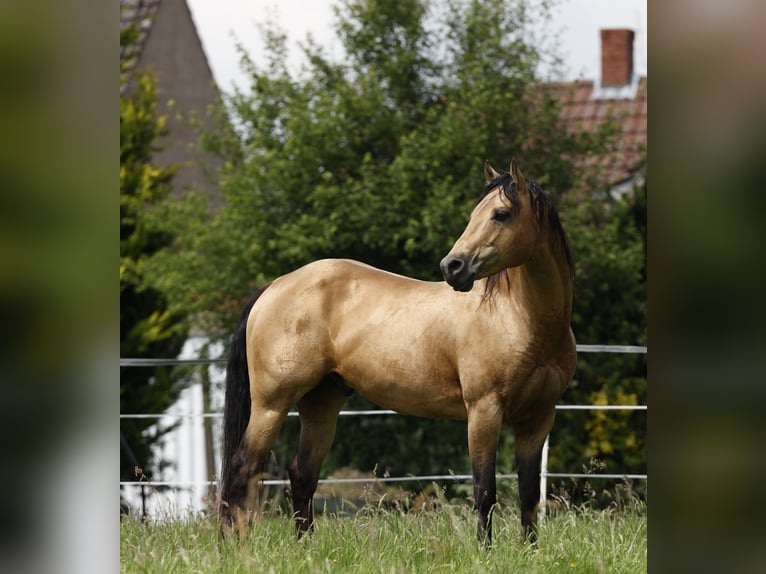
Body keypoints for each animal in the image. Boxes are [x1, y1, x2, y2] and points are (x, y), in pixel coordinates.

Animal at [218, 159, 576, 548]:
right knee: (243, 468)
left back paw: (305, 546)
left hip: (321, 403)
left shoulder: (538, 419)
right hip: (272, 404)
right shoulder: (484, 410)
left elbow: (528, 494)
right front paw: (485, 551)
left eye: (500, 214)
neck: (519, 318)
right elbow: (485, 491)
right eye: (474, 214)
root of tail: (274, 286)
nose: (453, 267)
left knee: (302, 475)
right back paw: (237, 547)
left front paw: (530, 550)